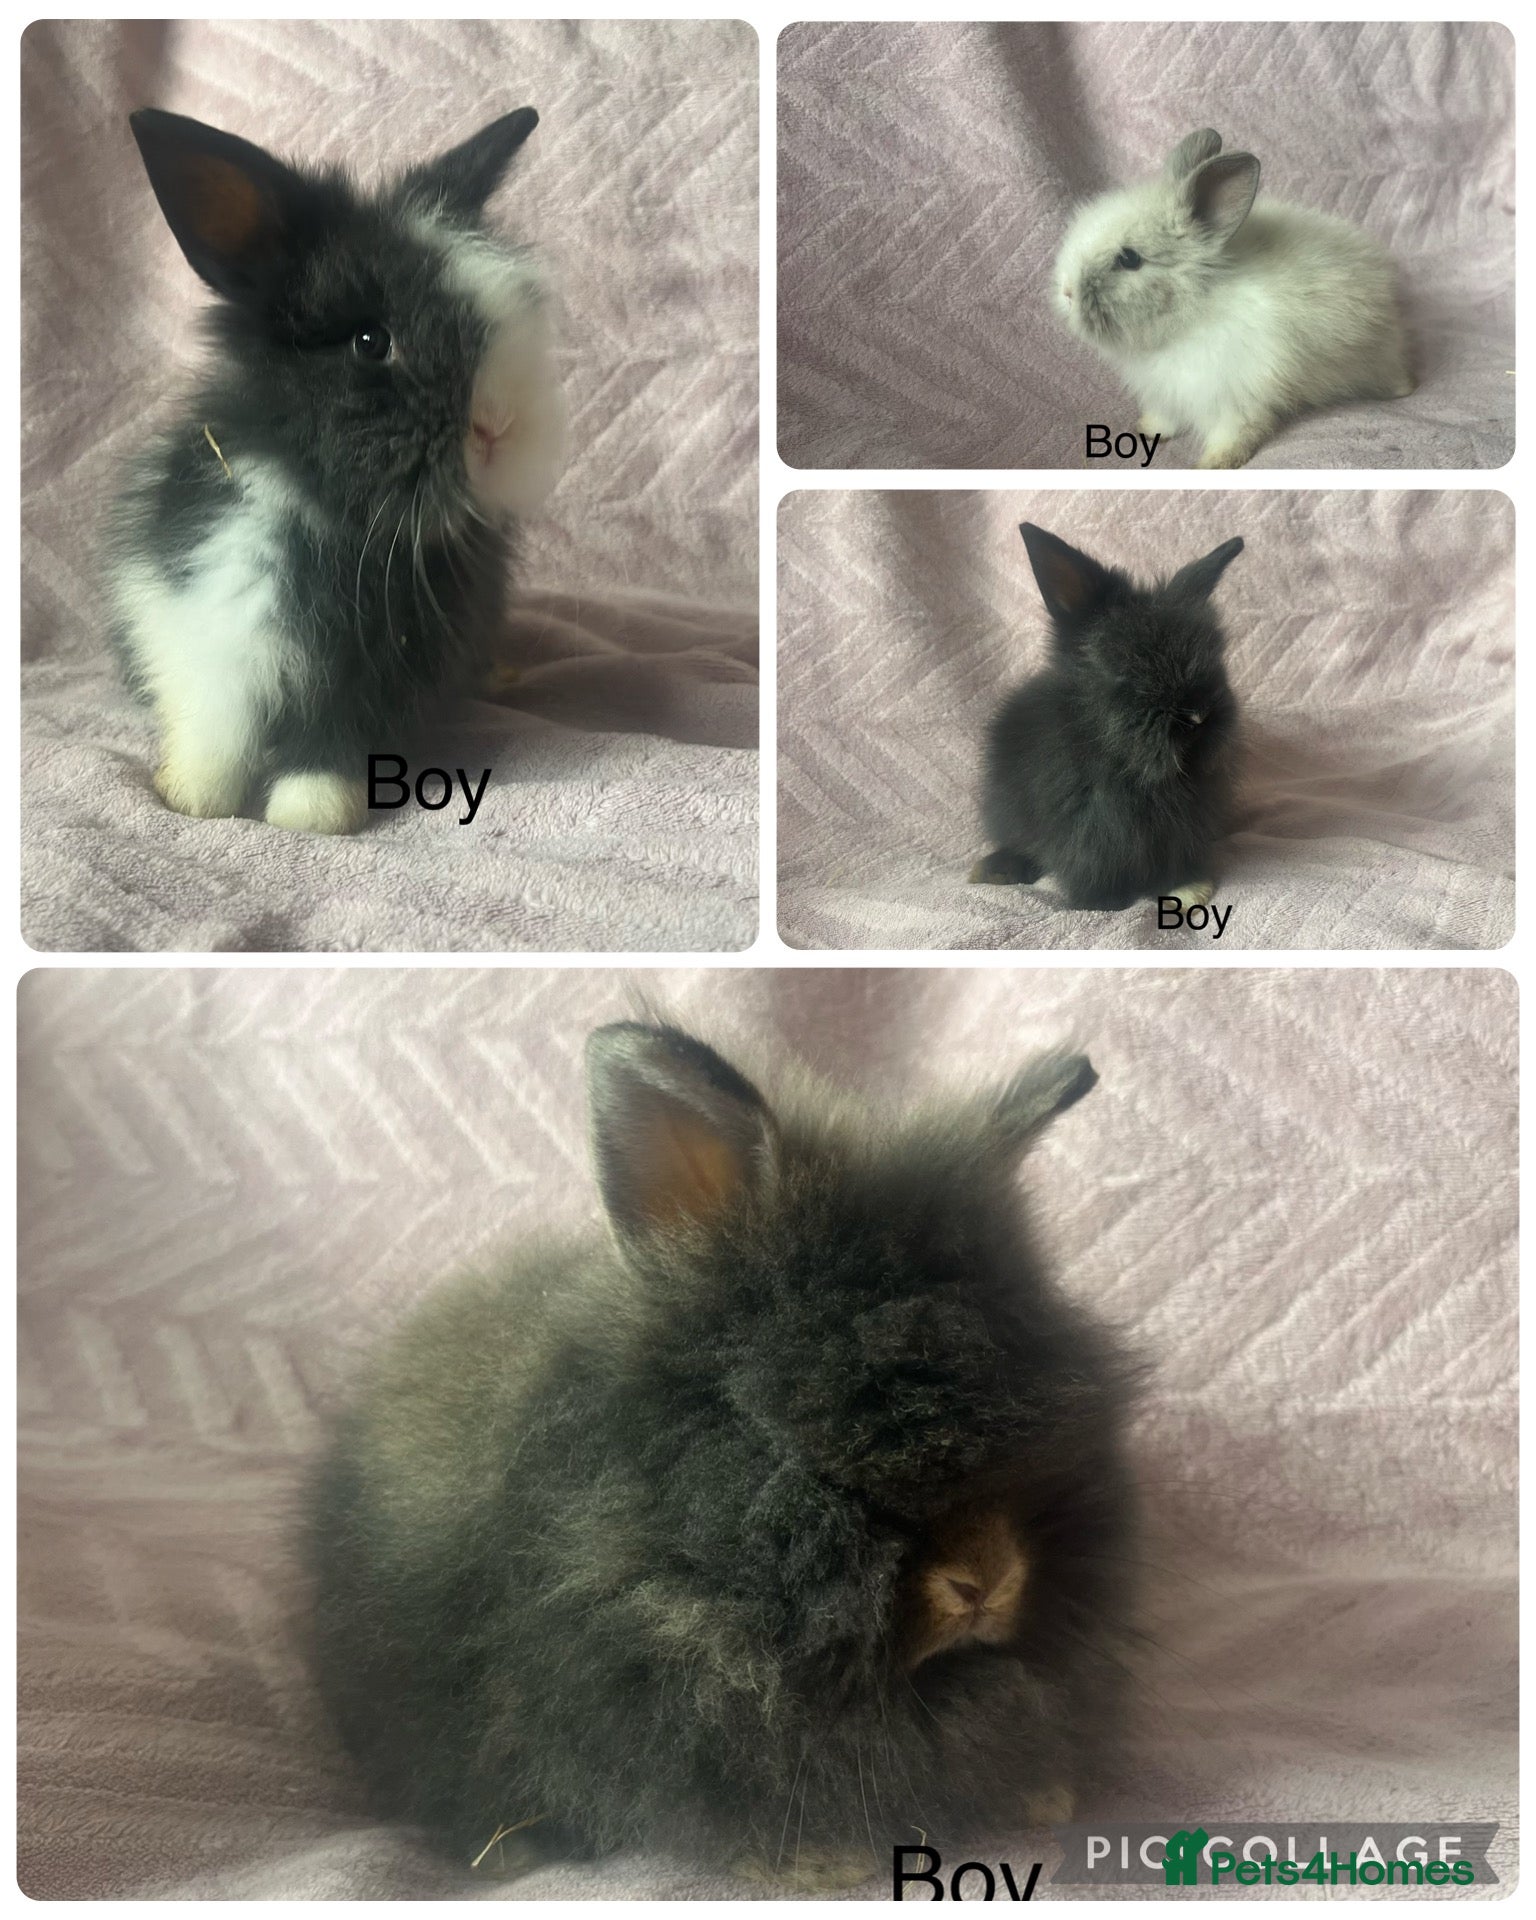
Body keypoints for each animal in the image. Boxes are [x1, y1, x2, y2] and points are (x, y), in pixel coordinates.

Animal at [105, 106, 566, 834]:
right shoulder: (209, 637)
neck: (335, 519)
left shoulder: (378, 677)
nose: (498, 426)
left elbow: (334, 741)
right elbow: (216, 730)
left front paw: (313, 813)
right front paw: (194, 799)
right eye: (371, 342)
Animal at [970, 522, 1242, 912]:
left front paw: (1188, 886)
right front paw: (1102, 902)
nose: (1199, 716)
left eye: (1213, 658)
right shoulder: (1087, 831)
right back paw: (996, 869)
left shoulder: (1181, 825)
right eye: (1126, 665)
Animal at [1054, 127, 1413, 468]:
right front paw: (1147, 429)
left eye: (1129, 259)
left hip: (1375, 356)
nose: (1067, 293)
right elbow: (1166, 418)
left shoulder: (1237, 395)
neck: (1193, 312)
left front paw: (1213, 464)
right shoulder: (1166, 393)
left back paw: (1403, 390)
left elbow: (1236, 433)